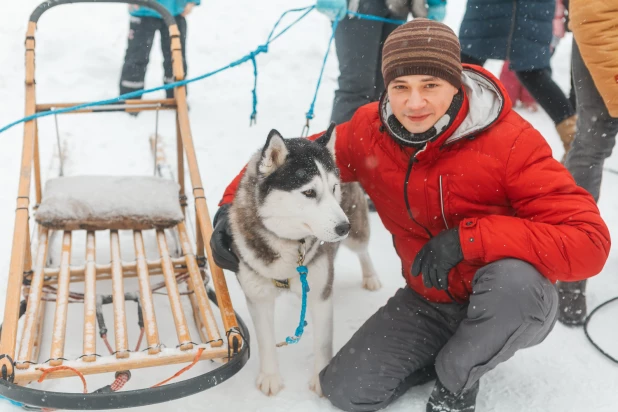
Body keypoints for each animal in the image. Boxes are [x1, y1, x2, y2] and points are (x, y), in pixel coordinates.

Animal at [227, 124, 378, 396]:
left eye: (333, 188)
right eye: (309, 192)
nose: (343, 227)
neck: (289, 244)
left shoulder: (320, 294)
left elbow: (323, 343)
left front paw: (319, 378)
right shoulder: (258, 297)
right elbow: (265, 340)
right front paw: (270, 376)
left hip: (357, 232)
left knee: (363, 250)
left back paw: (370, 276)